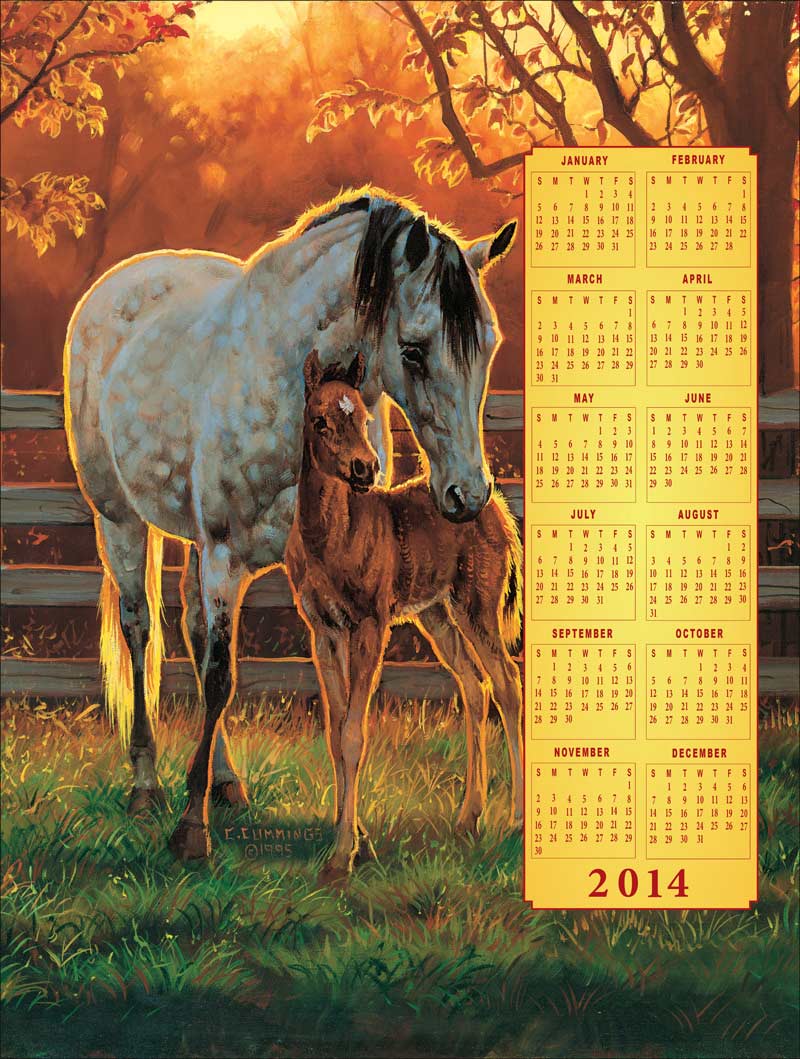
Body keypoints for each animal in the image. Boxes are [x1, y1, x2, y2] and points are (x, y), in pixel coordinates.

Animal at [285, 350, 523, 879]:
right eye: (319, 420)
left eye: (364, 419)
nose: (365, 468)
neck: (332, 538)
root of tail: (491, 502)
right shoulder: (323, 632)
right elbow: (334, 732)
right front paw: (350, 833)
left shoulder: (370, 626)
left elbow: (354, 734)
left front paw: (343, 854)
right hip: (436, 614)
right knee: (473, 686)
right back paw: (468, 817)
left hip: (477, 607)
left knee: (507, 683)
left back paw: (518, 819)